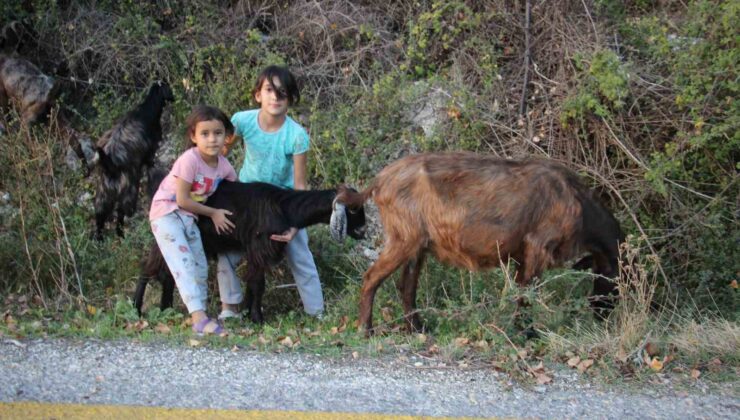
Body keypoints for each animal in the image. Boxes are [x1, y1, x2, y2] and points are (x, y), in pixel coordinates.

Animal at [92, 82, 173, 240]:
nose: (173, 97)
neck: (146, 109)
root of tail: (109, 164)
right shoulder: (150, 151)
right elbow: (150, 162)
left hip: (103, 194)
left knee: (100, 217)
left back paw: (100, 239)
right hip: (128, 190)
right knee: (121, 213)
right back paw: (121, 232)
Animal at [135, 180, 368, 322]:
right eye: (353, 209)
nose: (363, 230)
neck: (284, 207)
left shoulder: (255, 251)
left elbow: (252, 281)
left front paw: (248, 314)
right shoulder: (259, 247)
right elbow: (258, 284)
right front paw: (257, 318)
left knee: (167, 273)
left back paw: (165, 308)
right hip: (170, 233)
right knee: (148, 268)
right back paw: (137, 309)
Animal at [342, 152, 624, 334]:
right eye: (617, 279)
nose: (603, 315)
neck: (578, 203)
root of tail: (379, 181)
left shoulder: (523, 257)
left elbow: (519, 292)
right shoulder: (537, 249)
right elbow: (525, 295)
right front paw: (525, 332)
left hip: (416, 246)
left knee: (406, 285)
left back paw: (418, 329)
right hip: (403, 239)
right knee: (371, 278)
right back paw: (365, 330)